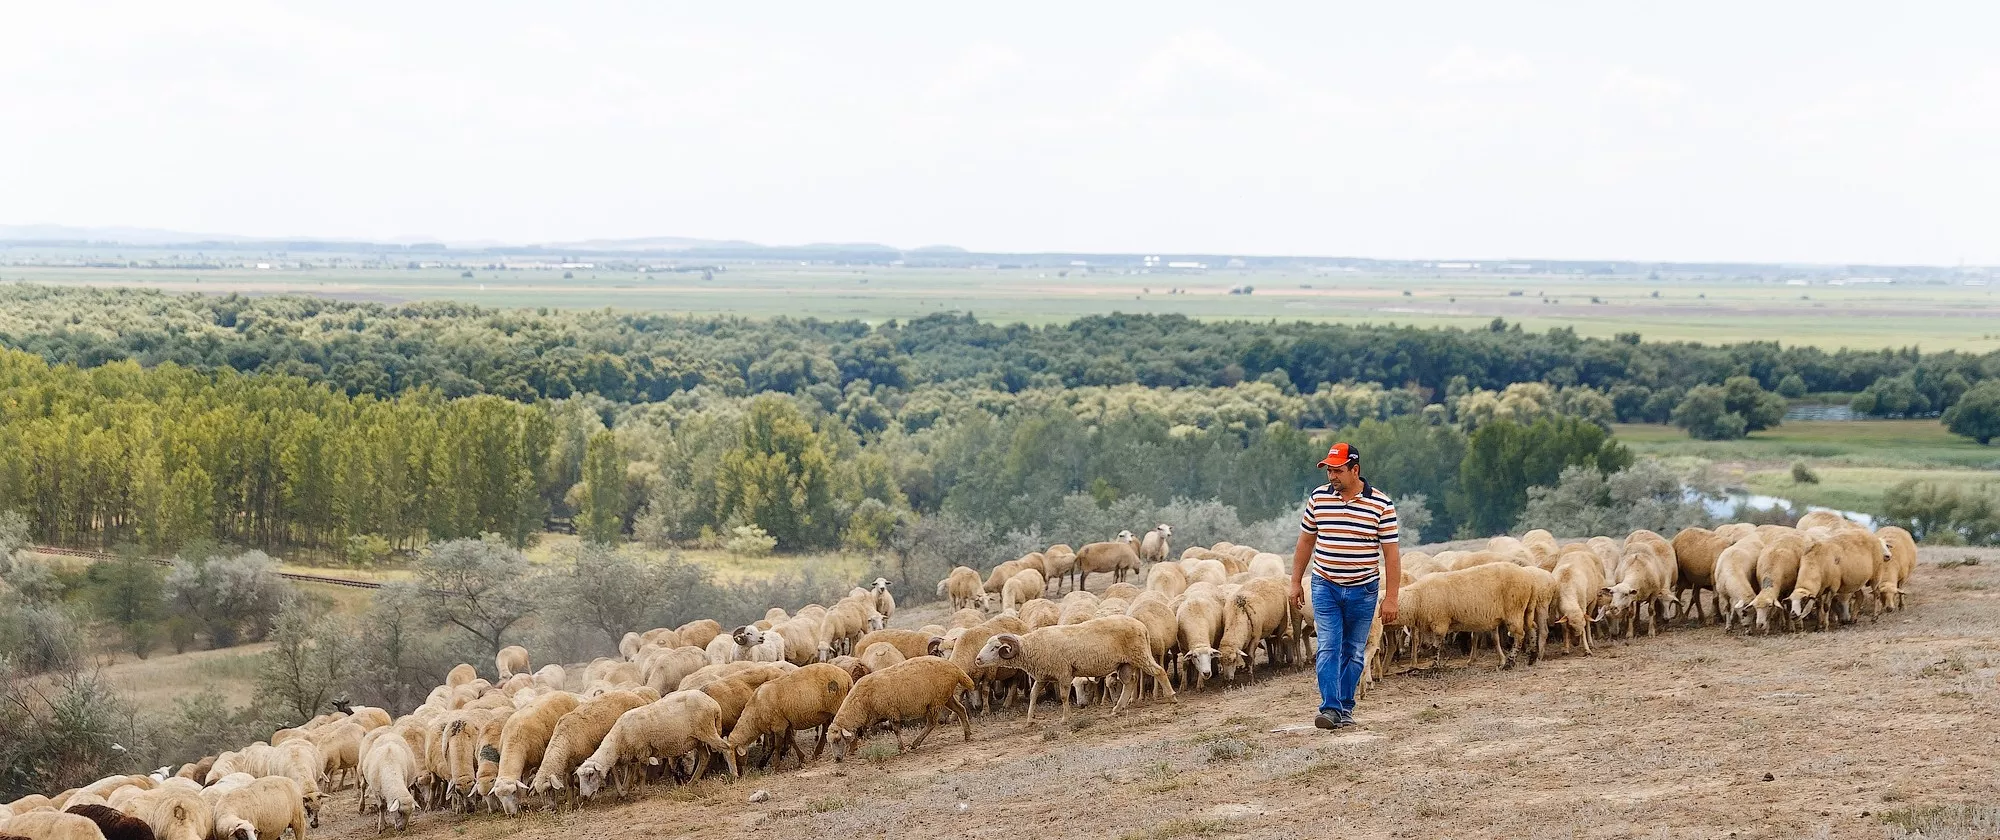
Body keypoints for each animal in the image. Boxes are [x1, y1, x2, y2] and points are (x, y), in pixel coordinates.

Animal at [828, 656, 976, 760]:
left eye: (837, 740)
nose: (837, 759)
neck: (861, 703)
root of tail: (955, 668)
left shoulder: (892, 711)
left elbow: (896, 730)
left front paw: (902, 748)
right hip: (946, 697)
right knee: (961, 710)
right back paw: (967, 735)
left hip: (936, 701)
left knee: (931, 723)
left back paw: (915, 744)